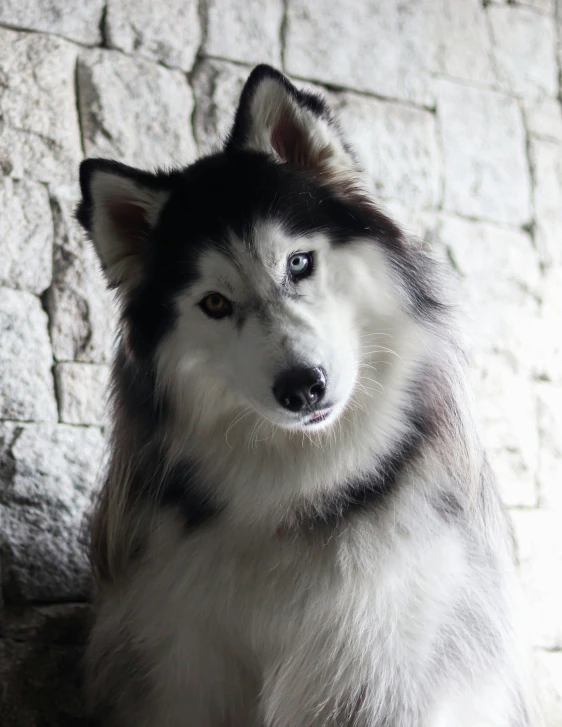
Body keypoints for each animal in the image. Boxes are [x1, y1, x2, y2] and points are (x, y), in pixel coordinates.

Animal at [76, 65, 528, 724]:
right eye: (215, 303)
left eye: (297, 263)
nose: (302, 387)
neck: (297, 495)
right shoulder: (182, 662)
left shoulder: (377, 666)